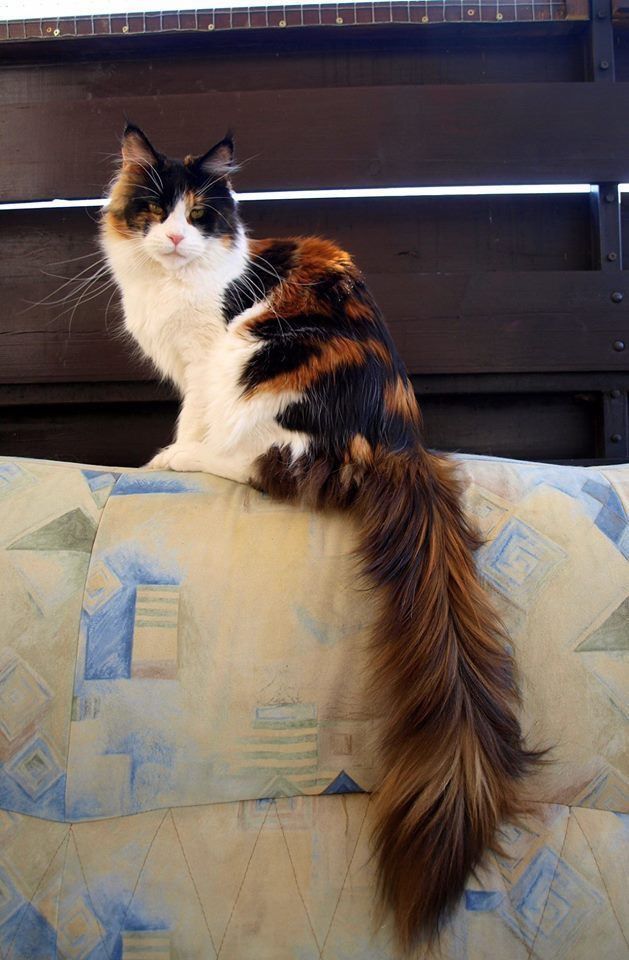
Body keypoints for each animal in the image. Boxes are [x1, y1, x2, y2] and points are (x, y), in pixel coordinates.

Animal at [100, 127, 536, 952]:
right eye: (154, 209)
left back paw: (175, 463)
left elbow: (191, 418)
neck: (174, 286)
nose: (173, 237)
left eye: (199, 213)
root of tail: (399, 441)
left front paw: (168, 450)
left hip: (261, 365)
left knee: (254, 465)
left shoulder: (205, 358)